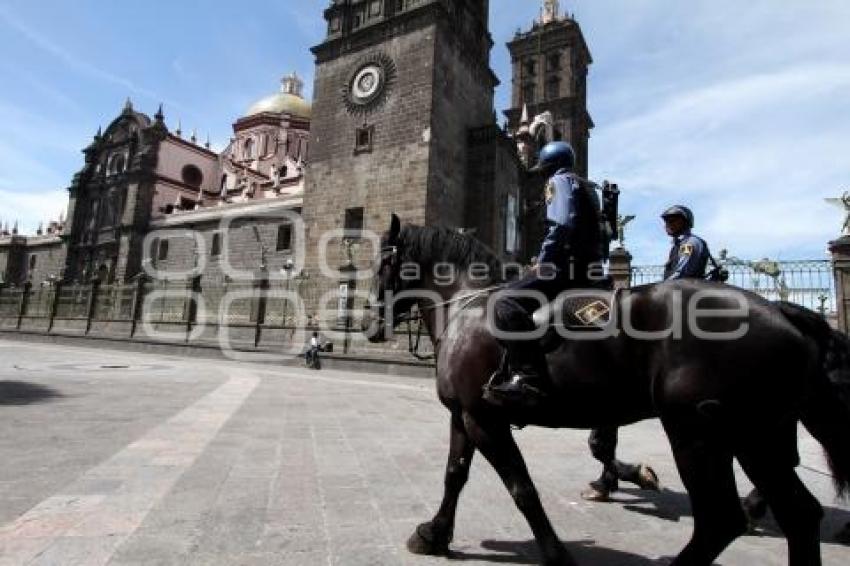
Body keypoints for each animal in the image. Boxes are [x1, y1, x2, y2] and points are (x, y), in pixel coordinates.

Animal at [362, 216, 848, 566]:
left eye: (383, 262)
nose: (367, 322)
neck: (468, 306)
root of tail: (782, 312)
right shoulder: (465, 415)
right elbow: (454, 475)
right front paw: (433, 533)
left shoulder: (486, 419)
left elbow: (522, 487)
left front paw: (557, 552)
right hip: (761, 435)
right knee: (800, 515)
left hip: (703, 435)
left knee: (720, 521)